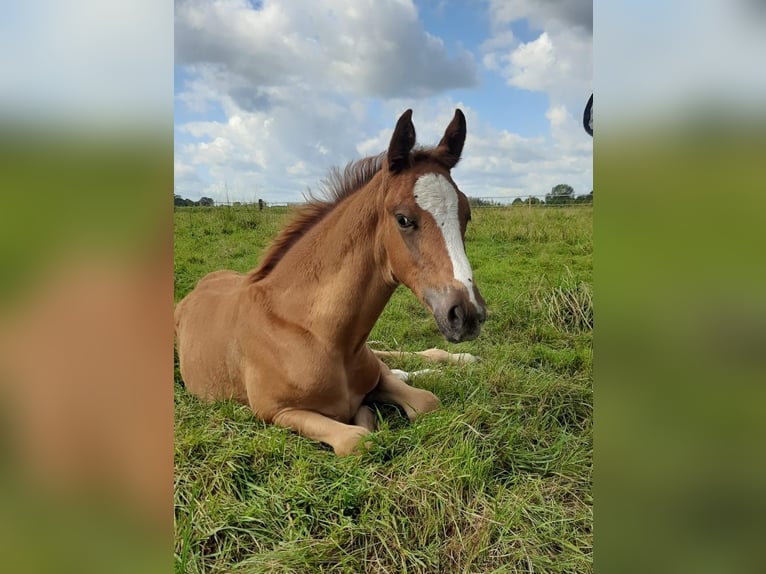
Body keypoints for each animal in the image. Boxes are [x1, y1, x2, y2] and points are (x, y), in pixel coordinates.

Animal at [174, 109, 486, 454]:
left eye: (466, 214)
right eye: (403, 219)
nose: (467, 314)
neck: (316, 331)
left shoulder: (375, 372)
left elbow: (426, 400)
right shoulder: (277, 412)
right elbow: (357, 438)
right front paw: (366, 415)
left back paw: (463, 359)